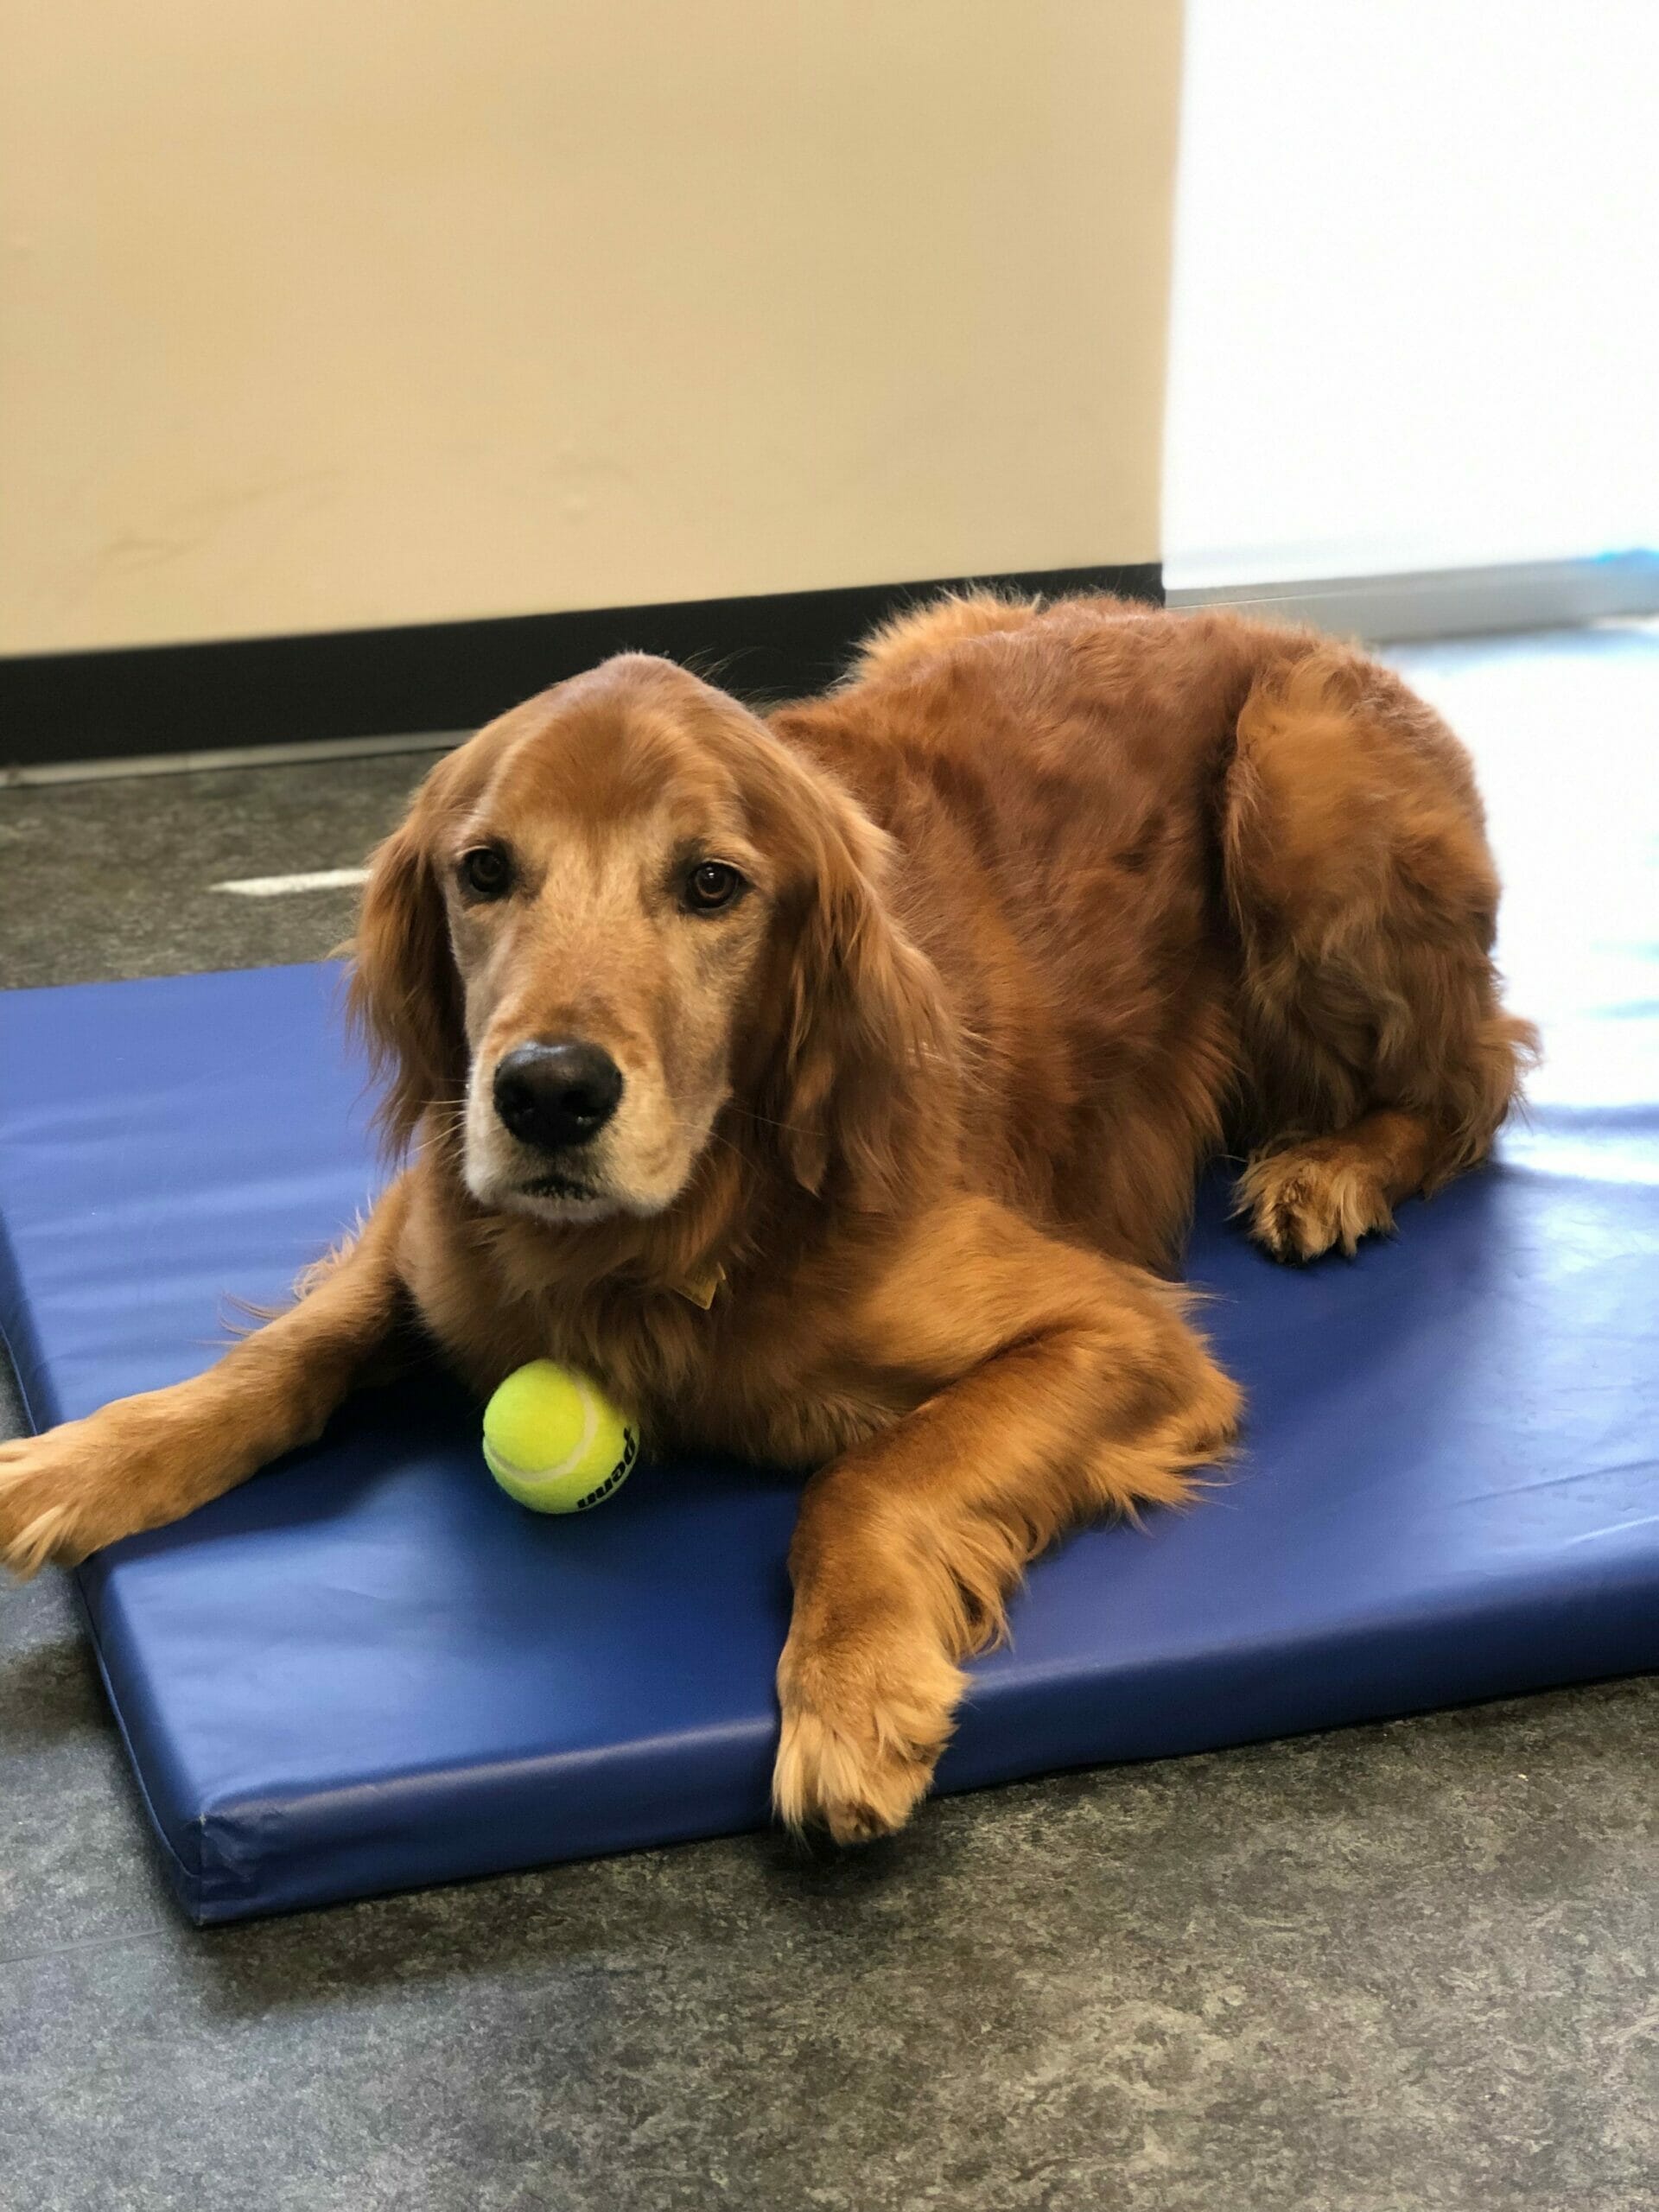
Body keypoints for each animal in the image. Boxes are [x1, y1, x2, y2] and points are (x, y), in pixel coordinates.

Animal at [0, 597, 1530, 1840]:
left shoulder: (1118, 1330)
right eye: (484, 871)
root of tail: (1262, 623)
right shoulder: (435, 1219)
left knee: (1480, 1075)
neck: (682, 1234)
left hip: (1299, 790)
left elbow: (868, 1479)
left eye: (711, 885)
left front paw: (850, 1697)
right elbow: (288, 1356)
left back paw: (1334, 1169)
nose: (547, 1093)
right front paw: (86, 1459)